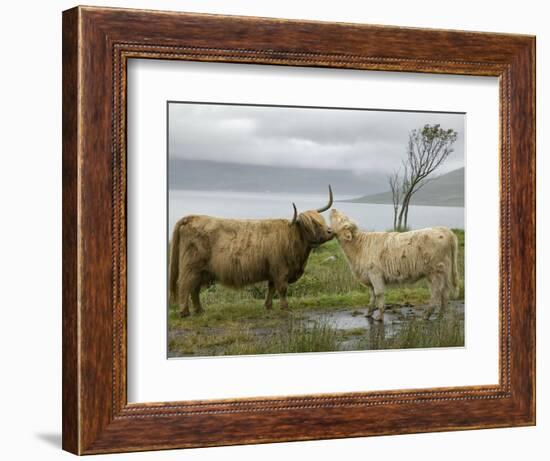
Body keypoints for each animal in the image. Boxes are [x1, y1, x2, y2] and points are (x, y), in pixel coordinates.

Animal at [332, 208, 462, 320]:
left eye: (342, 219)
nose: (333, 209)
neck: (358, 247)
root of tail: (445, 230)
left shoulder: (375, 274)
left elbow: (379, 294)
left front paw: (380, 317)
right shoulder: (369, 277)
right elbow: (372, 295)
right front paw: (368, 314)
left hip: (434, 271)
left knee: (436, 292)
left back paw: (426, 315)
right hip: (444, 272)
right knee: (445, 292)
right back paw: (440, 316)